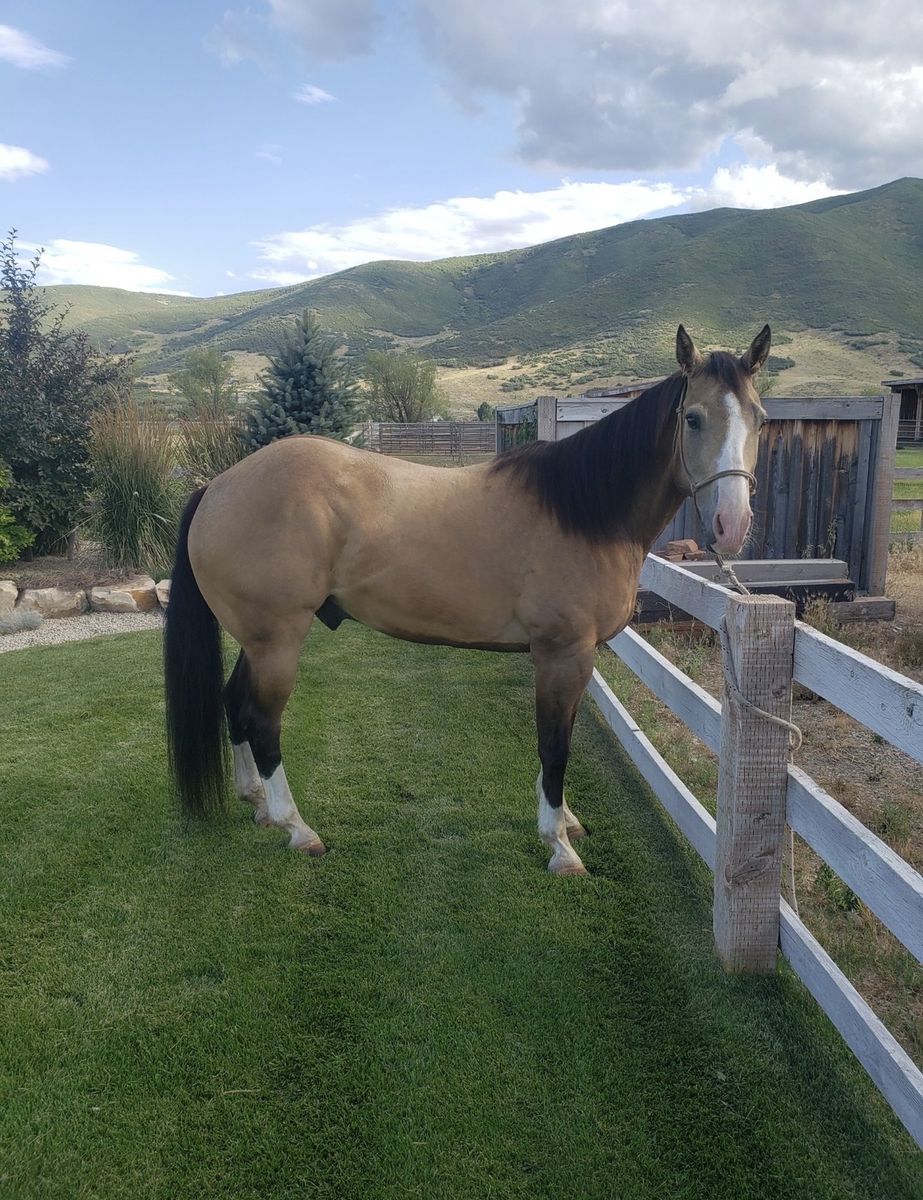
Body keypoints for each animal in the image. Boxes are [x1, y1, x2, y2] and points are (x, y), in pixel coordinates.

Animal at [164, 324, 770, 876]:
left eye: (759, 417)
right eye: (693, 418)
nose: (733, 524)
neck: (585, 510)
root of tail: (217, 487)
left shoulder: (572, 659)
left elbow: (562, 739)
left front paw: (566, 822)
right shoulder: (563, 655)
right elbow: (554, 747)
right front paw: (559, 847)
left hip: (259, 641)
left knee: (233, 704)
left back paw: (258, 805)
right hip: (278, 642)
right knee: (261, 721)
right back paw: (297, 828)